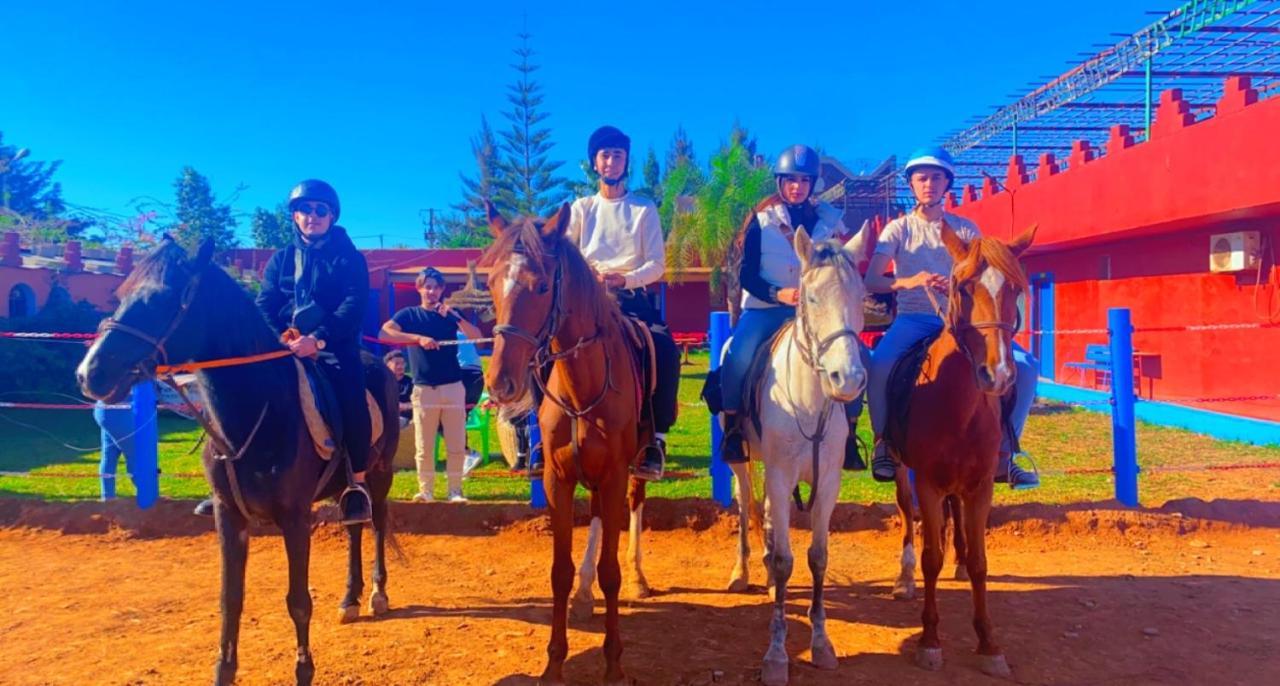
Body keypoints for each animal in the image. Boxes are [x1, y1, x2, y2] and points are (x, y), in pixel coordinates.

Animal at [76, 238, 394, 680]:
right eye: (119, 295)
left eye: (161, 298)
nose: (89, 374)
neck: (259, 411)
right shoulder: (228, 516)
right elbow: (230, 600)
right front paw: (223, 671)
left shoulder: (295, 518)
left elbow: (298, 601)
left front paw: (303, 671)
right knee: (354, 528)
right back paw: (351, 597)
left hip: (379, 475)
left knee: (377, 523)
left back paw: (378, 593)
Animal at [483, 200, 650, 680]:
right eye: (491, 282)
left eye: (541, 286)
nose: (500, 383)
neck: (582, 386)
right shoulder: (559, 478)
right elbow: (559, 571)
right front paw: (553, 665)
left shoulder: (613, 476)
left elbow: (612, 571)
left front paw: (613, 665)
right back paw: (583, 596)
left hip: (634, 468)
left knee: (635, 505)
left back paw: (639, 578)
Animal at [896, 222, 1034, 675]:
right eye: (964, 287)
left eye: (1015, 288)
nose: (999, 374)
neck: (958, 406)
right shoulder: (927, 484)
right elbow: (930, 557)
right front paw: (929, 640)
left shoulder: (981, 486)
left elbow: (979, 562)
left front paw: (989, 642)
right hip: (903, 472)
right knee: (907, 514)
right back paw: (904, 577)